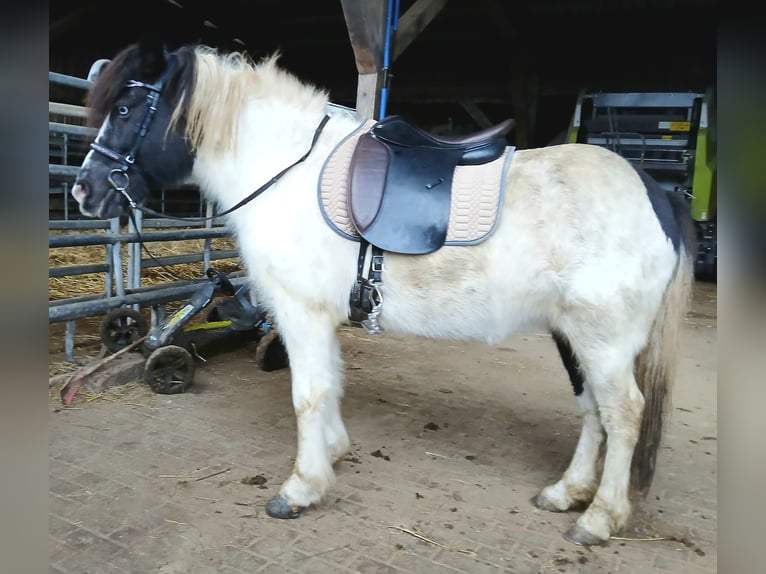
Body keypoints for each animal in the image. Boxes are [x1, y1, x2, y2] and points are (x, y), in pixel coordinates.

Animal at [70, 39, 695, 546]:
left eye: (124, 109)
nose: (84, 191)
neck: (285, 169)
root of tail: (656, 196)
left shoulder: (299, 312)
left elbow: (309, 393)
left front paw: (302, 487)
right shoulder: (318, 318)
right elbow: (330, 383)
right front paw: (332, 452)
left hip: (603, 341)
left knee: (623, 413)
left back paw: (599, 519)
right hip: (575, 337)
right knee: (594, 411)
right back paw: (567, 492)